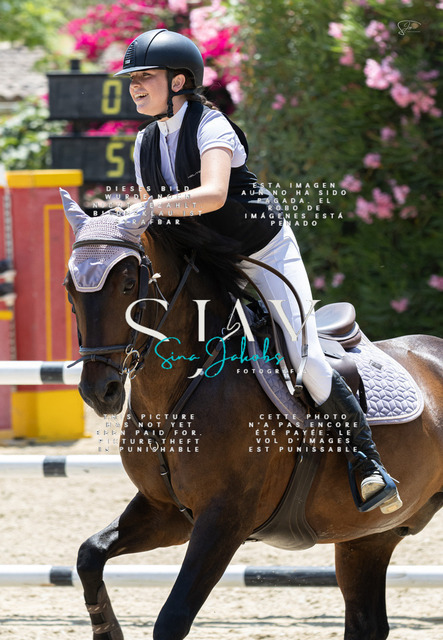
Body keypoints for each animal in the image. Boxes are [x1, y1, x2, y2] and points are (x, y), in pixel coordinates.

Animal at [63, 196, 443, 640]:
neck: (174, 398)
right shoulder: (168, 512)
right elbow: (90, 555)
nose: (99, 391)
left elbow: (172, 619)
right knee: (367, 621)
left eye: (127, 284)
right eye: (70, 288)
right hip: (368, 537)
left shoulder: (224, 521)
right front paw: (107, 629)